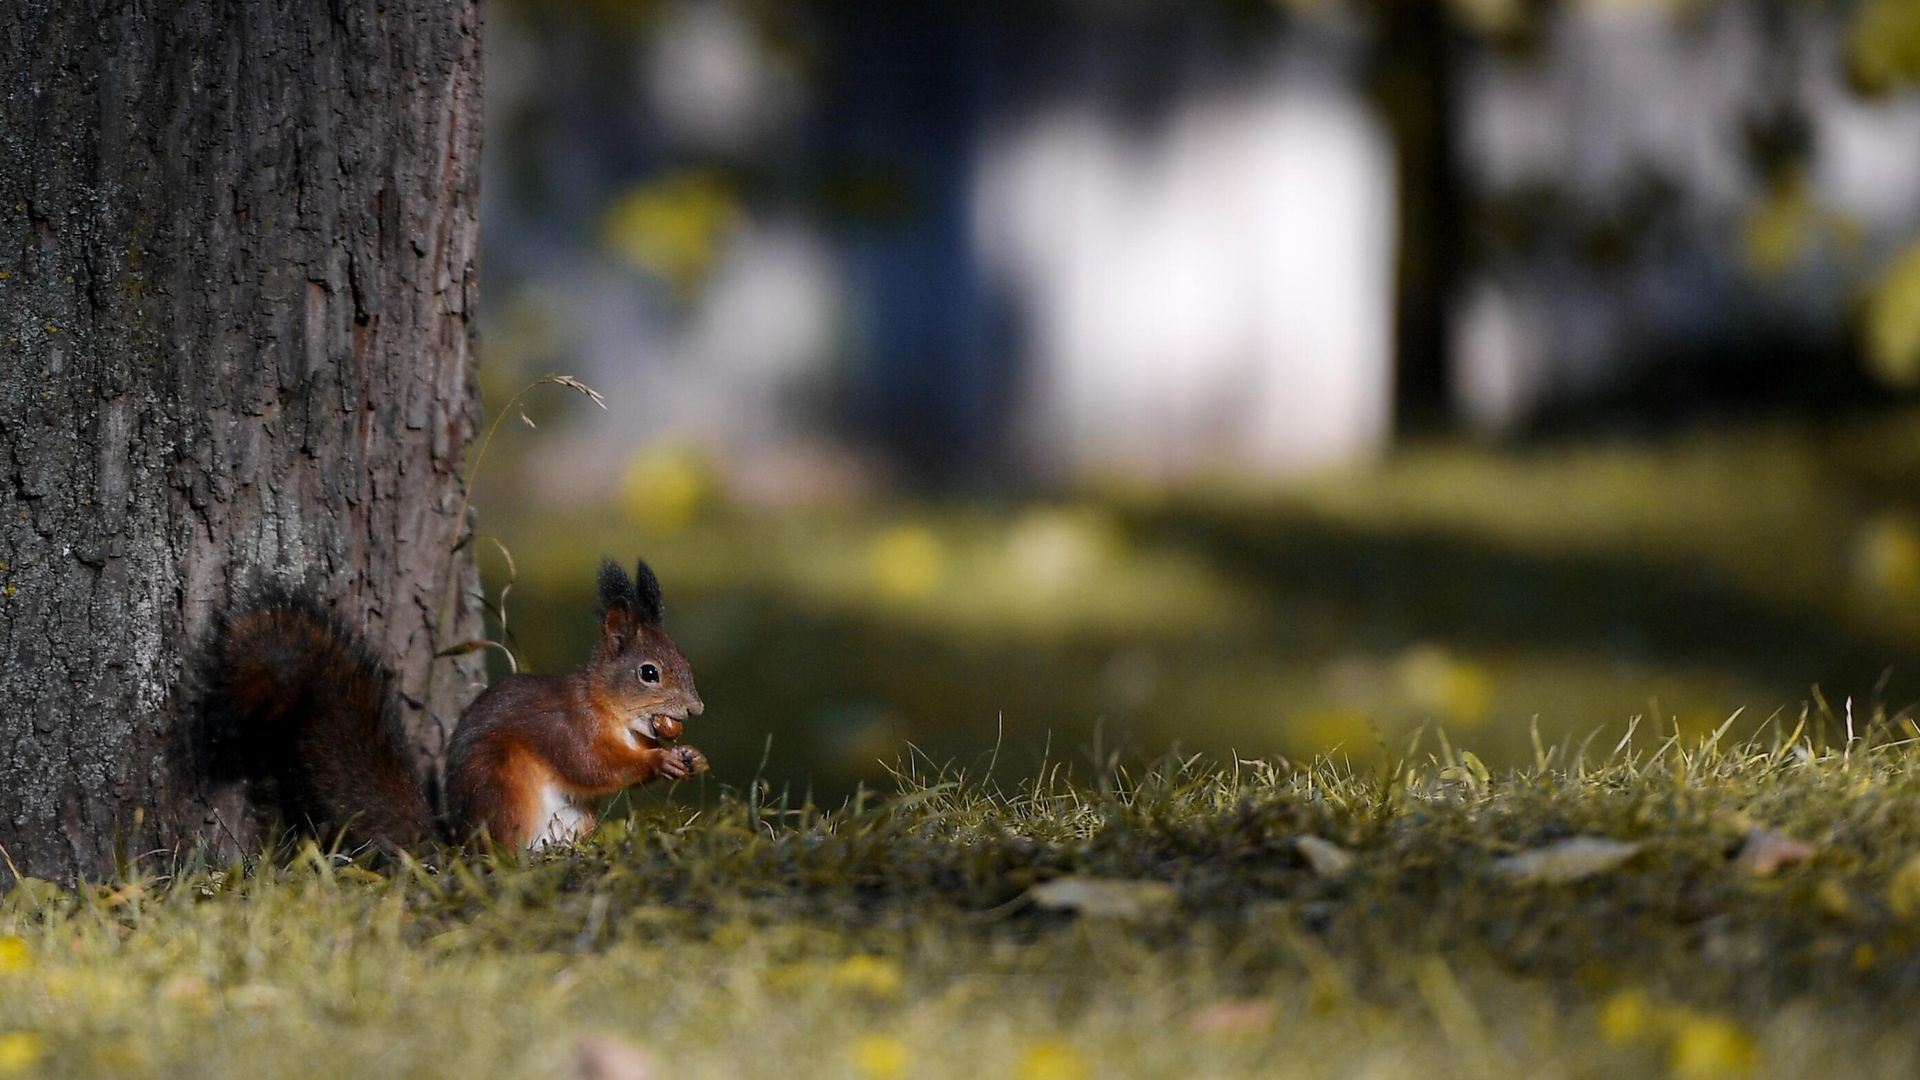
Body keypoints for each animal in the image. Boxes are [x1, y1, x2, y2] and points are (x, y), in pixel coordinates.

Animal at [205, 557, 708, 851]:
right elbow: (593, 767)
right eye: (649, 673)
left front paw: (689, 755)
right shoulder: (567, 728)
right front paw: (660, 762)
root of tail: (458, 853)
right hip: (503, 791)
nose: (696, 710)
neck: (605, 707)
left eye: (684, 658)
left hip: (574, 819)